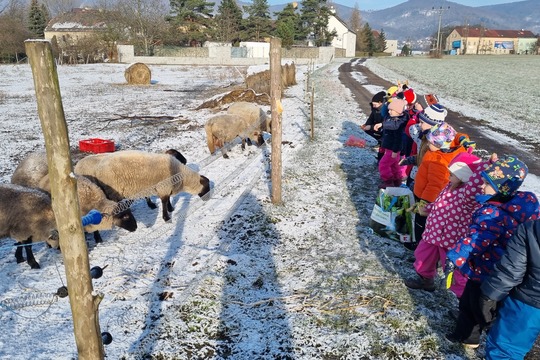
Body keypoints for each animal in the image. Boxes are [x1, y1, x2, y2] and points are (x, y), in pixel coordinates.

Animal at [74, 149, 211, 222]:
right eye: (207, 187)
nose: (208, 199)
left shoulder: (164, 188)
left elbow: (166, 200)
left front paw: (170, 209)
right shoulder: (163, 187)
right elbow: (164, 201)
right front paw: (166, 217)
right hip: (112, 191)